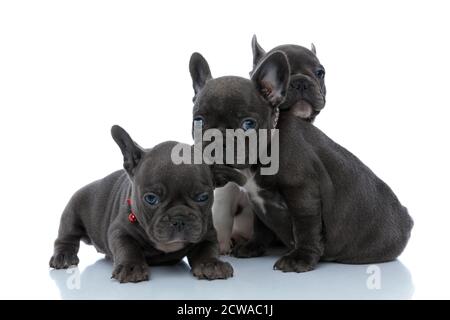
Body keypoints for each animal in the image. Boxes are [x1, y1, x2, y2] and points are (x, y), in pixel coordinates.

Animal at [48, 125, 244, 282]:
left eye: (203, 197)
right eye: (151, 199)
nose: (179, 219)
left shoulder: (206, 233)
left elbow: (207, 249)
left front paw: (211, 264)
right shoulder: (119, 231)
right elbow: (128, 248)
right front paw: (131, 267)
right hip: (72, 211)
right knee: (66, 237)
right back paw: (64, 256)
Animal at [188, 51, 414, 272]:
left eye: (248, 124)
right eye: (198, 121)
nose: (216, 141)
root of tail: (408, 220)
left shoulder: (302, 194)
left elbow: (306, 228)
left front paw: (300, 259)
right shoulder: (258, 202)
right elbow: (261, 227)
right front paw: (253, 247)